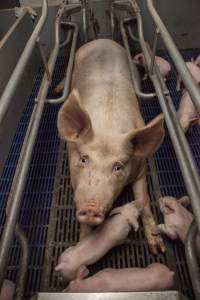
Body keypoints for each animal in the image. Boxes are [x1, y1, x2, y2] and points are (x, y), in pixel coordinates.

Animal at [57, 38, 165, 252]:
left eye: (118, 167)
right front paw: (83, 244)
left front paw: (158, 248)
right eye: (84, 159)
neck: (108, 126)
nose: (91, 208)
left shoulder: (141, 169)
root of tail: (102, 40)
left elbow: (144, 200)